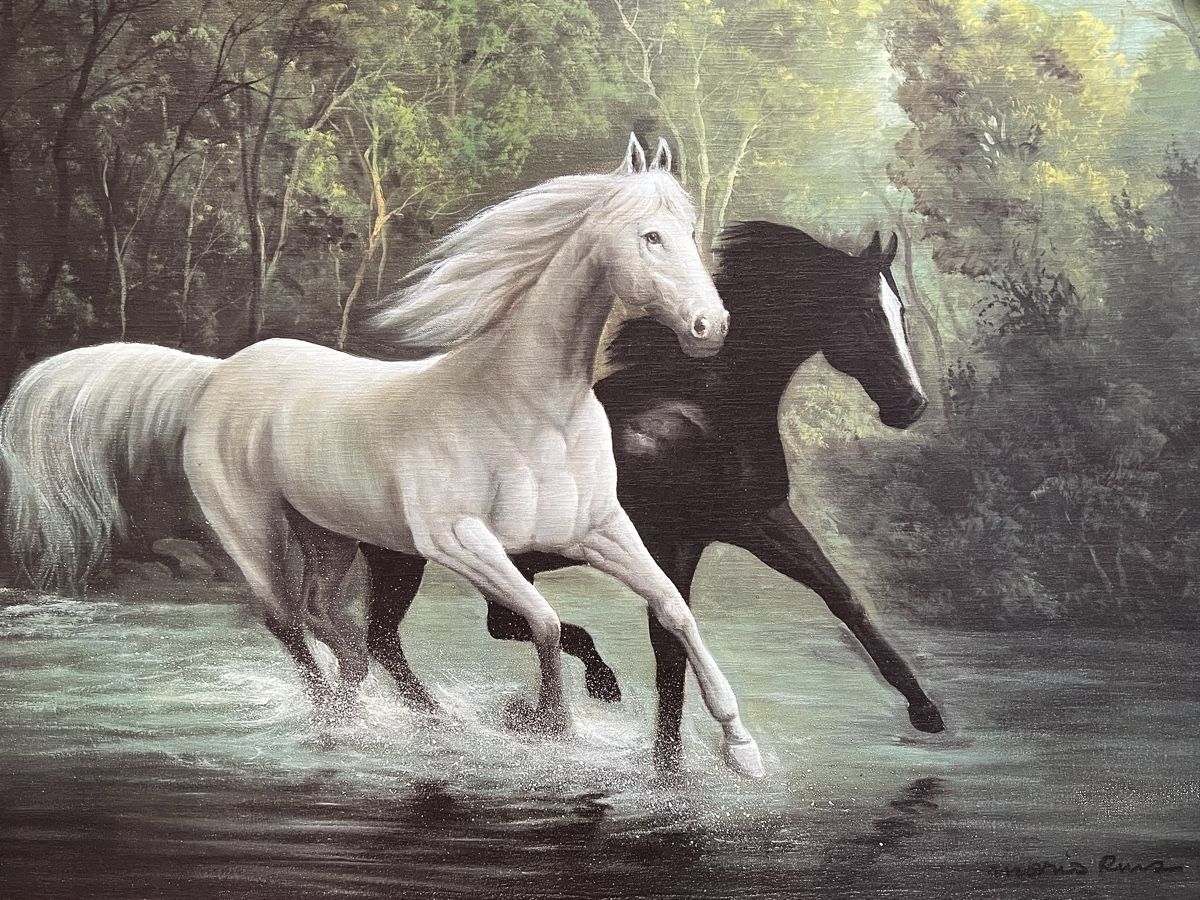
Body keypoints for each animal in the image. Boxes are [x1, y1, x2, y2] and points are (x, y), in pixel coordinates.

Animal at [0, 136, 766, 778]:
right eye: (650, 236)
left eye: (690, 233)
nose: (711, 327)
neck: (528, 408)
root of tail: (216, 375)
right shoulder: (461, 541)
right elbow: (546, 623)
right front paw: (549, 725)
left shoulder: (599, 530)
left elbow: (673, 610)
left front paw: (742, 749)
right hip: (255, 532)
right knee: (289, 620)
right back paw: (346, 716)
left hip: (332, 536)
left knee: (335, 620)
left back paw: (403, 708)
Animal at [358, 221, 946, 769]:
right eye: (866, 313)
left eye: (901, 312)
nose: (911, 404)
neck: (705, 410)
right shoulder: (672, 546)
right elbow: (671, 659)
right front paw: (670, 769)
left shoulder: (760, 520)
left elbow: (843, 598)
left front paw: (925, 710)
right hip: (403, 558)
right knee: (389, 637)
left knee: (472, 628)